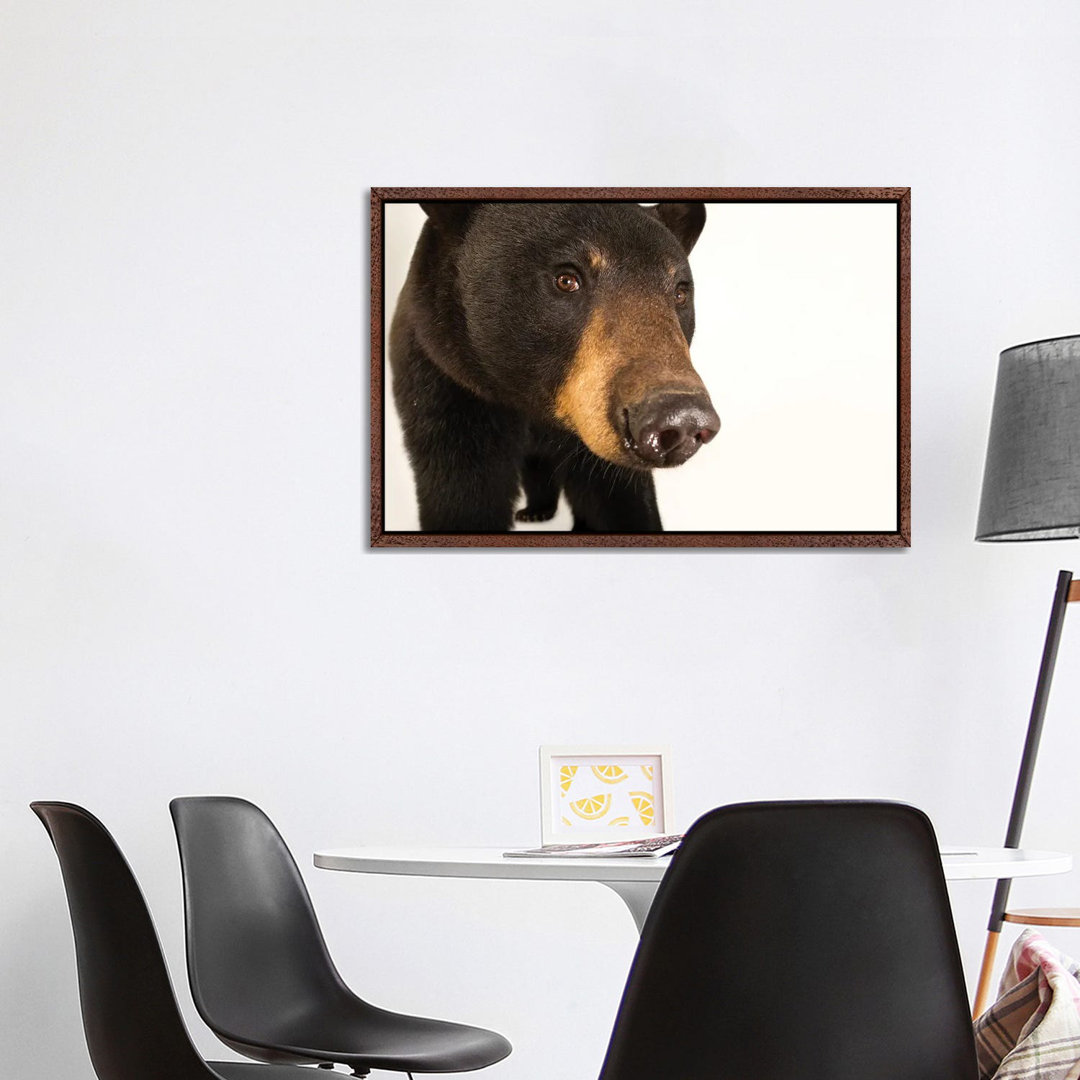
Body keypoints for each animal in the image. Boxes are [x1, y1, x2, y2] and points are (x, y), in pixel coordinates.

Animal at [388, 200, 717, 533]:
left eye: (680, 292)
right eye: (566, 279)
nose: (682, 418)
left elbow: (621, 497)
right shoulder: (447, 387)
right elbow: (461, 488)